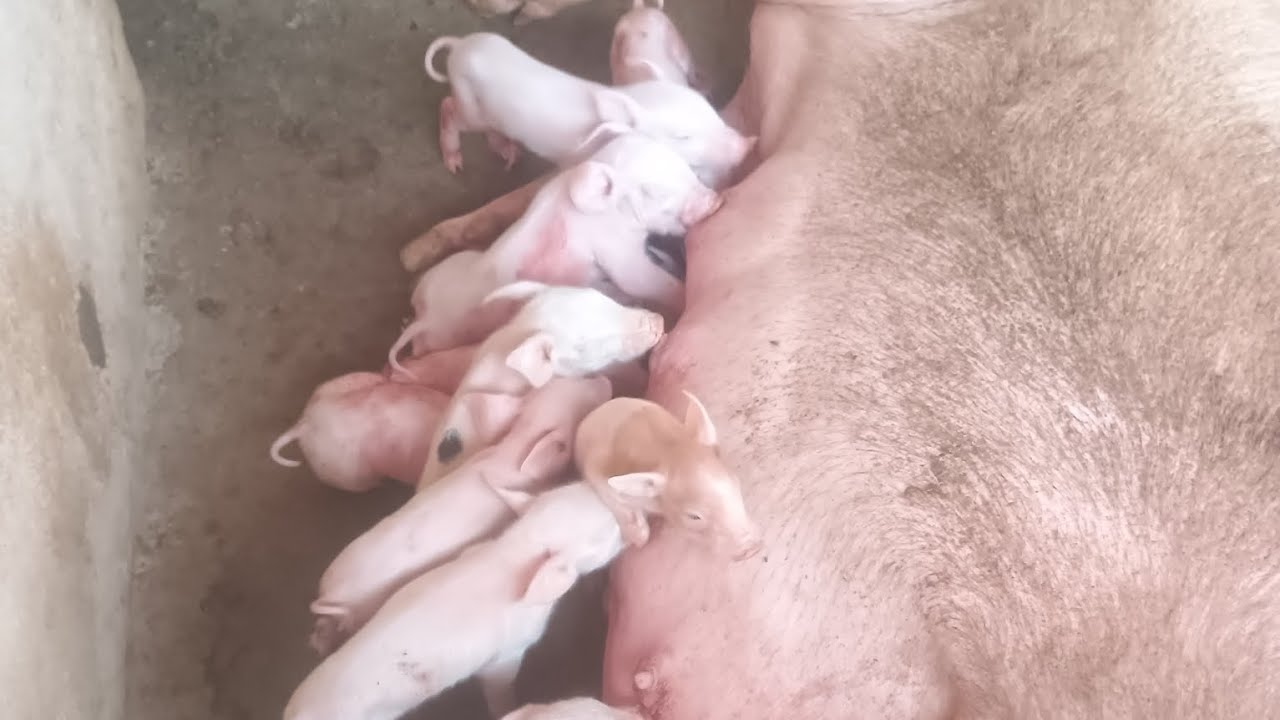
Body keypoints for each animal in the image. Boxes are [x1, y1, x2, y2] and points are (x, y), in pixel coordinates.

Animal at [282, 481, 626, 720]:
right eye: (605, 535)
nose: (628, 518)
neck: (515, 550)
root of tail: (295, 712)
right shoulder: (506, 654)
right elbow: (501, 689)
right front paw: (510, 705)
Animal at [423, 33, 755, 187]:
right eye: (682, 136)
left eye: (710, 111)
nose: (749, 144)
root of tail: (460, 45)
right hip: (469, 104)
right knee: (448, 107)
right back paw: (455, 164)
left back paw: (511, 157)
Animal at [574, 390, 760, 560]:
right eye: (694, 516)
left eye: (736, 484)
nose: (752, 549)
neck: (669, 451)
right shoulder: (596, 471)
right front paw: (640, 540)